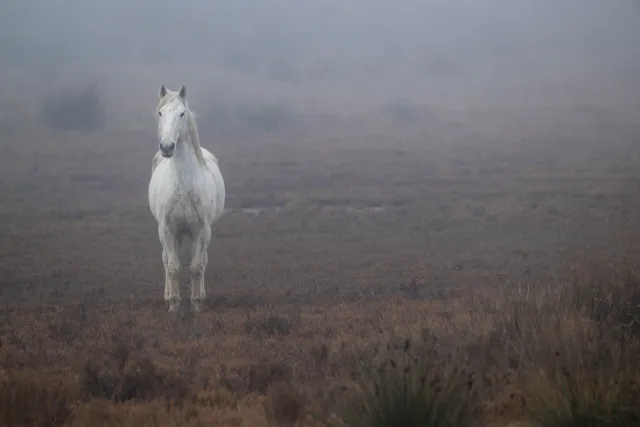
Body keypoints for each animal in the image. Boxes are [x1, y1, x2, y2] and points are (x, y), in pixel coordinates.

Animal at [148, 85, 225, 312]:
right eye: (160, 113)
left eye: (182, 113)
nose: (167, 147)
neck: (183, 185)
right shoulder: (167, 229)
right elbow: (173, 267)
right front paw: (174, 306)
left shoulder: (201, 230)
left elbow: (197, 267)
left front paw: (196, 304)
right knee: (166, 260)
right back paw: (167, 295)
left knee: (202, 261)